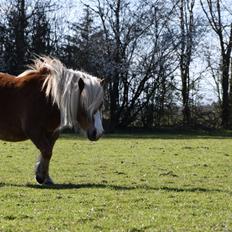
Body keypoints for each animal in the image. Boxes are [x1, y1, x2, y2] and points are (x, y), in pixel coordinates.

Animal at [0, 57, 104, 185]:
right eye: (85, 105)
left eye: (101, 104)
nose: (98, 132)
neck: (48, 98)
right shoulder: (34, 131)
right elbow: (46, 151)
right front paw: (41, 177)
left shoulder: (51, 133)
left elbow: (47, 153)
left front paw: (45, 177)